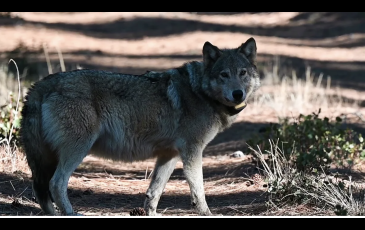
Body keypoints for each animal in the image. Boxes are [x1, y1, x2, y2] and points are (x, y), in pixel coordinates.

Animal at [19, 37, 258, 216]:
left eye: (242, 73)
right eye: (224, 74)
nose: (238, 94)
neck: (200, 91)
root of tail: (41, 84)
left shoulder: (169, 155)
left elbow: (154, 192)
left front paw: (150, 213)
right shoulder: (192, 151)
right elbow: (198, 190)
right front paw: (206, 213)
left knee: (42, 188)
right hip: (78, 149)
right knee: (56, 184)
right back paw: (71, 213)